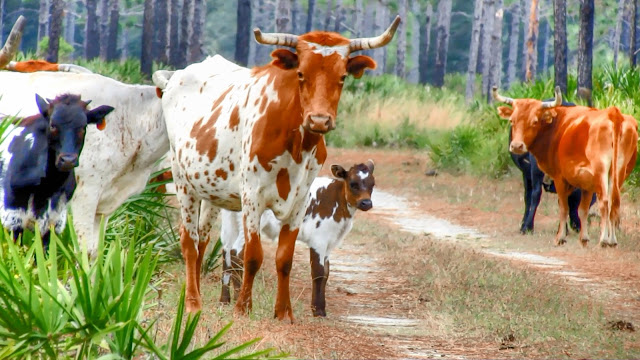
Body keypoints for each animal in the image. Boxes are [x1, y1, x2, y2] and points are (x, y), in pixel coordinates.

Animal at [220, 160, 376, 316]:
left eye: (372, 184)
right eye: (353, 183)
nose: (366, 203)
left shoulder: (330, 243)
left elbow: (326, 273)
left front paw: (320, 309)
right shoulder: (318, 239)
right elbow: (318, 272)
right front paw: (318, 311)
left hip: (230, 223)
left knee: (226, 252)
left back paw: (225, 300)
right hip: (249, 222)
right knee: (236, 254)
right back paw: (239, 298)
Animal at [496, 86, 636, 248]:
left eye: (534, 121)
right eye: (512, 120)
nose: (517, 146)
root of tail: (614, 114)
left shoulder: (556, 176)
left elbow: (560, 205)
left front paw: (559, 235)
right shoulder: (582, 182)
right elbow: (580, 208)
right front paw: (582, 236)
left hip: (600, 169)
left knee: (605, 201)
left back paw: (603, 239)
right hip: (619, 170)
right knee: (614, 201)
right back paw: (612, 240)